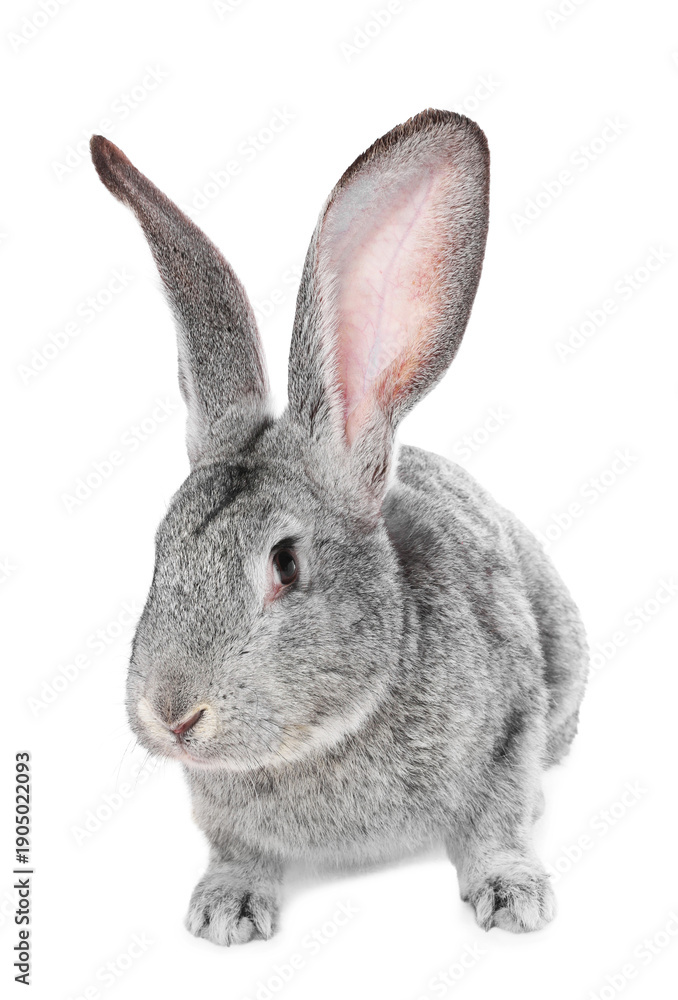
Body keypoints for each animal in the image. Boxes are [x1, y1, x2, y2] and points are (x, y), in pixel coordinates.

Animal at [90, 109, 588, 946]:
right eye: (160, 550)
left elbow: (496, 819)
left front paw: (513, 896)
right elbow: (236, 849)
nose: (172, 715)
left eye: (285, 564)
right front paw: (224, 909)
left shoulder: (512, 723)